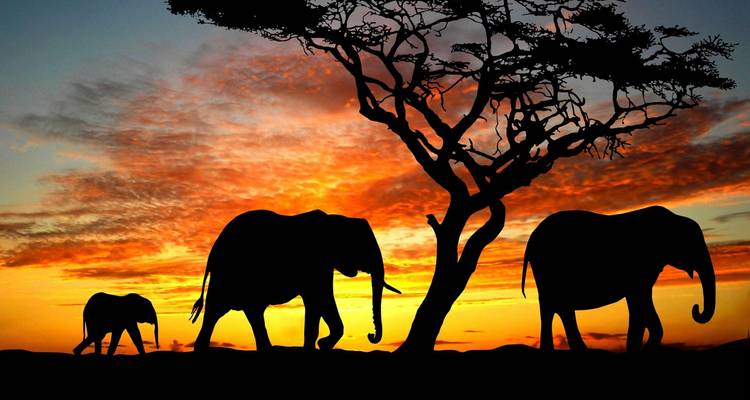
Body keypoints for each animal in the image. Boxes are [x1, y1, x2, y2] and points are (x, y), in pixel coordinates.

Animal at [189, 209, 401, 351]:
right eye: (364, 247)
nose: (370, 335)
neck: (337, 220)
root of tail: (213, 252)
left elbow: (320, 301)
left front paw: (320, 345)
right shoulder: (315, 262)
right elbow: (319, 298)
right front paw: (320, 345)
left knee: (246, 311)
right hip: (229, 274)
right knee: (218, 310)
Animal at [521, 206, 715, 352]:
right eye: (692, 244)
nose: (695, 309)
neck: (673, 218)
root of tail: (531, 240)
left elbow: (641, 304)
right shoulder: (639, 266)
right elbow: (638, 303)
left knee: (559, 308)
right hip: (548, 269)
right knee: (553, 307)